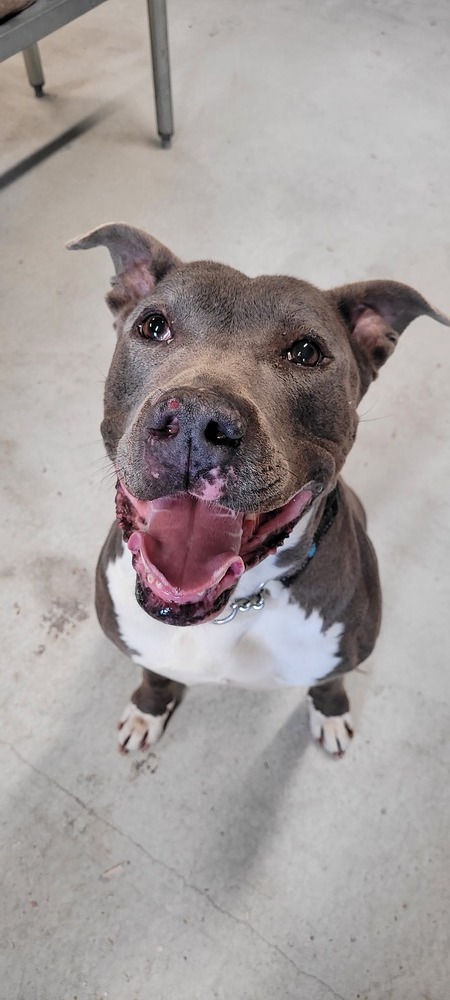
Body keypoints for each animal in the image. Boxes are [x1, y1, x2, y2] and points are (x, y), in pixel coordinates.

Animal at [68, 225, 448, 756]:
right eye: (153, 326)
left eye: (306, 353)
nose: (195, 421)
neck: (238, 605)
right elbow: (155, 674)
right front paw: (149, 709)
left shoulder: (339, 655)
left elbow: (329, 682)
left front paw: (331, 713)